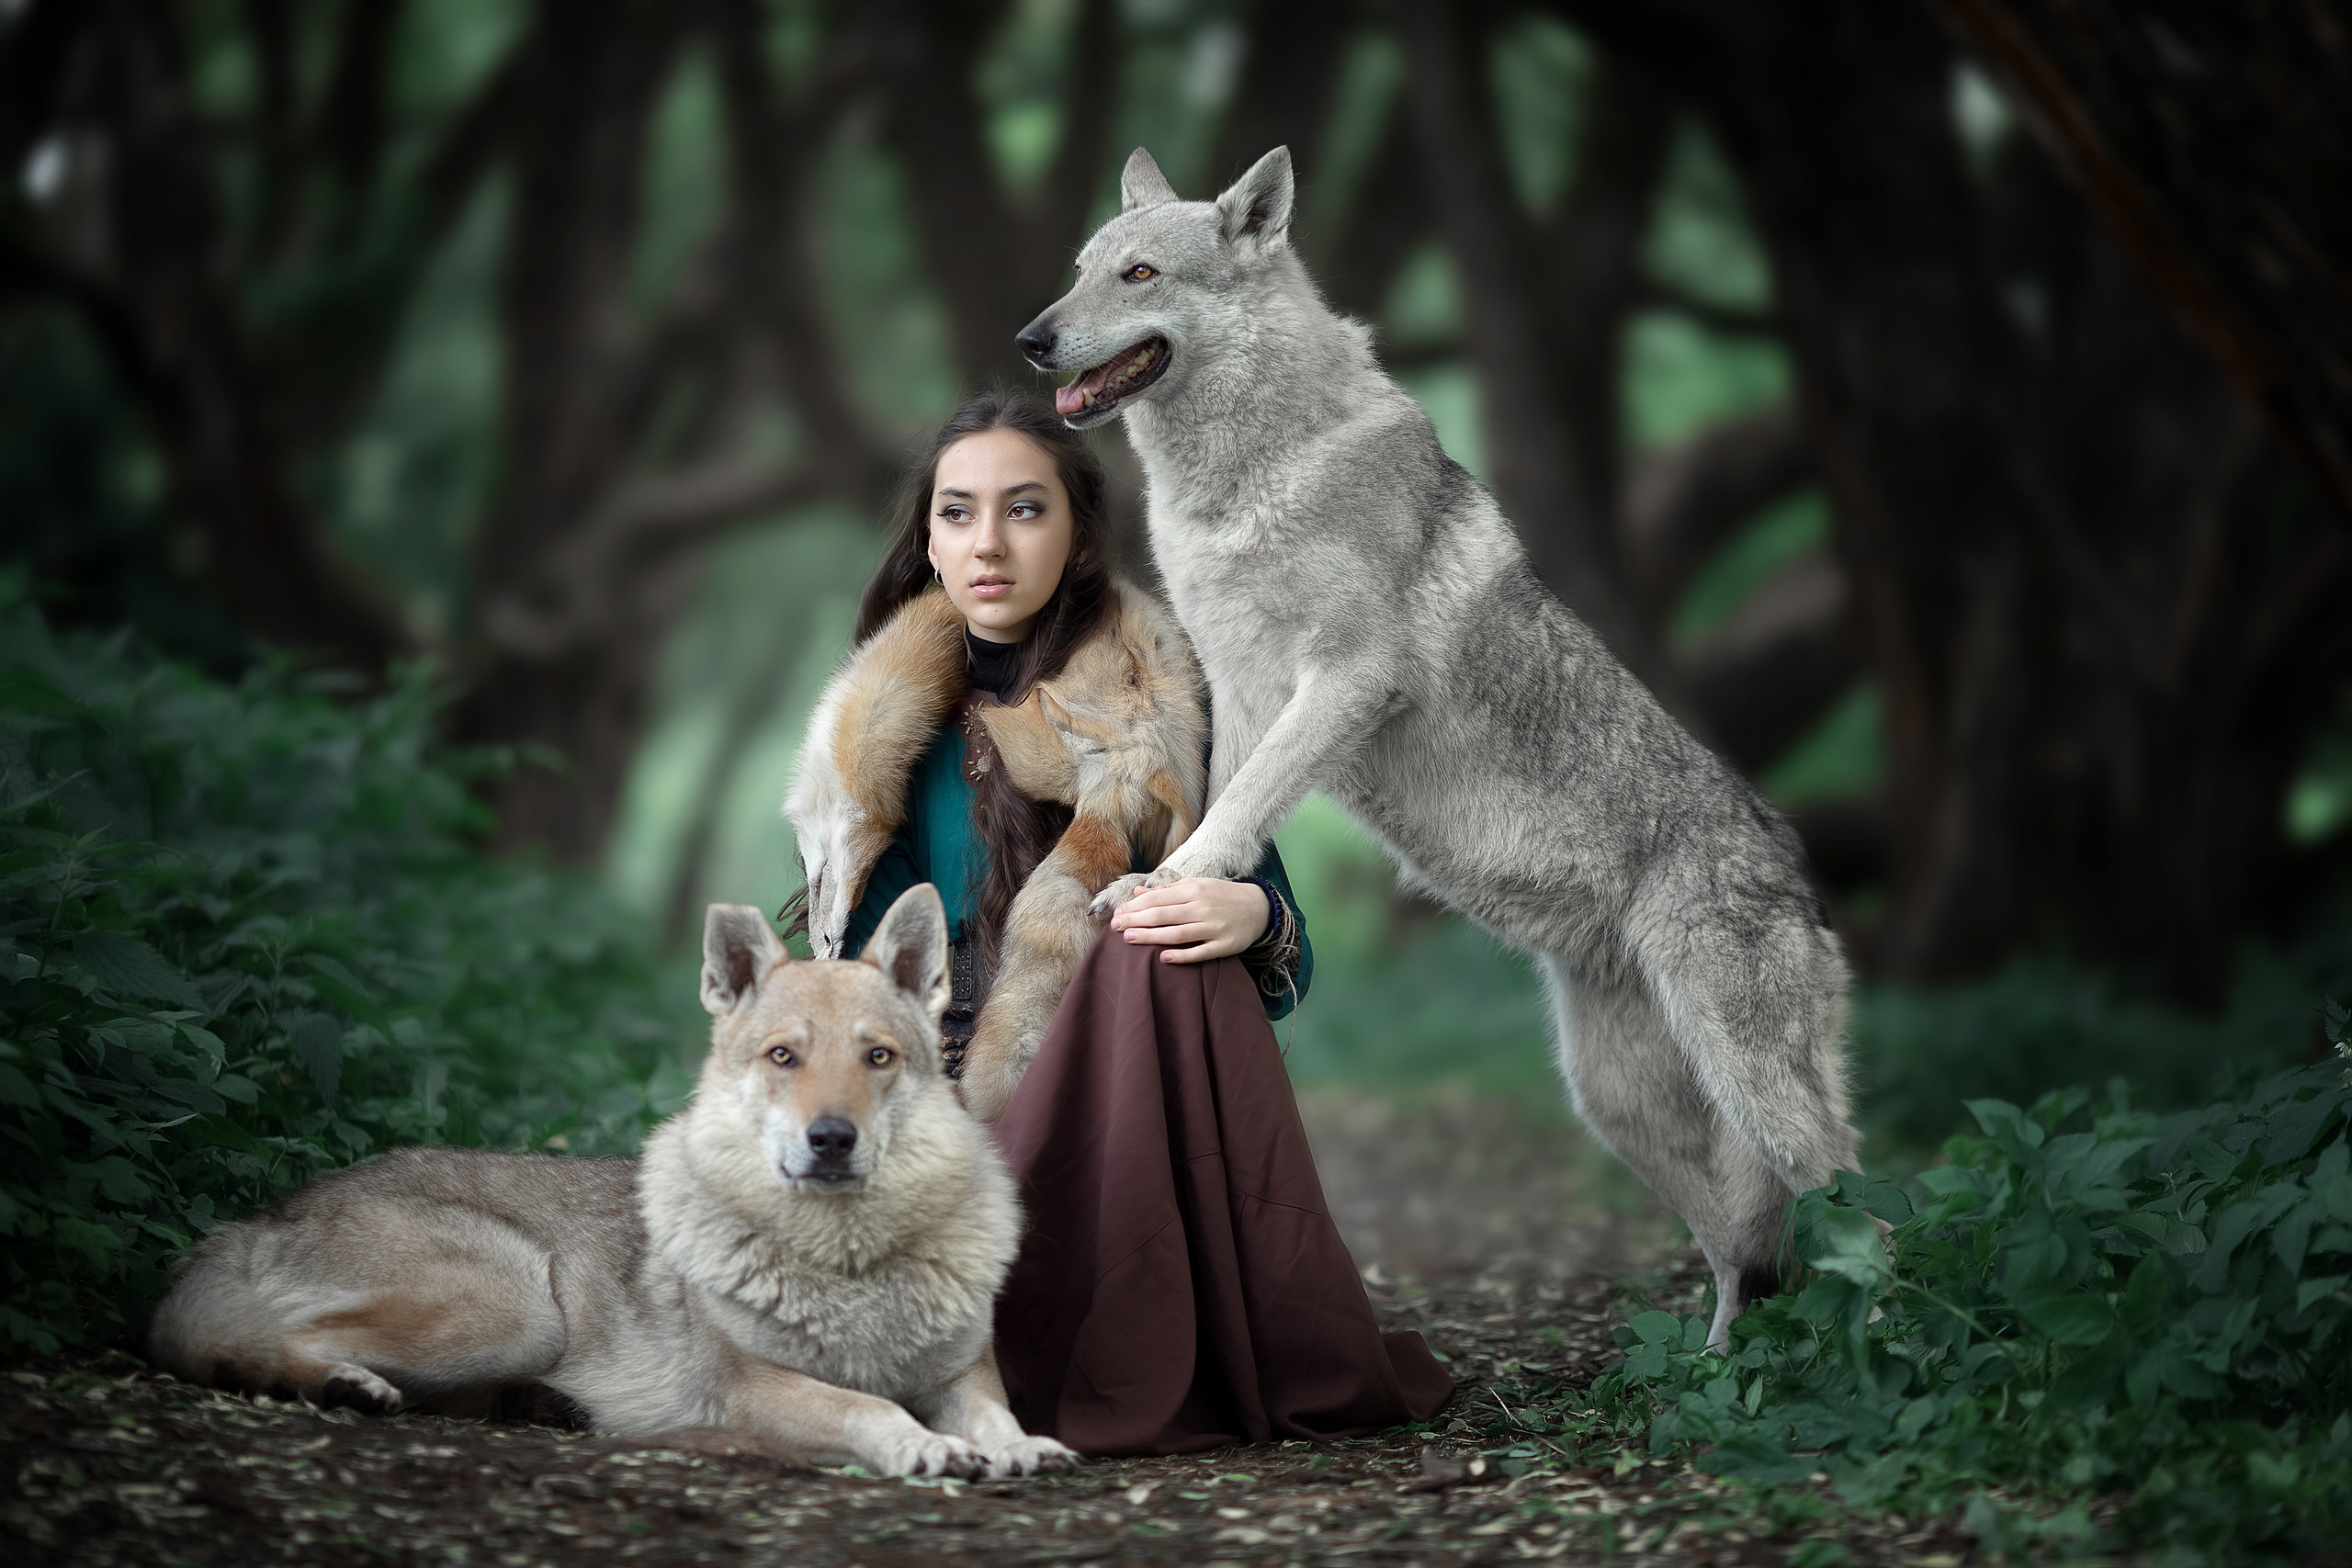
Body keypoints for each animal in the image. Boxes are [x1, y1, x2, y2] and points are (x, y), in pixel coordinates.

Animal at [147, 885, 1080, 1479]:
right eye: (784, 1055)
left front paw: (1020, 1448)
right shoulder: (756, 1391)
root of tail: (258, 1218)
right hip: (518, 1307)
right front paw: (928, 1449)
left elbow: (997, 1416)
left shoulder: (961, 1378)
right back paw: (351, 1386)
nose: (830, 1138)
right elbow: (871, 1410)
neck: (852, 1263)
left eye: (878, 1057)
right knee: (251, 1345)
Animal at [1015, 146, 1862, 1346]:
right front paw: (1188, 887)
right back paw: (1718, 1372)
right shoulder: (1242, 685)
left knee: (1860, 1204)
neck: (1249, 477)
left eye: (1138, 274)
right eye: (1082, 268)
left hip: (1749, 1089)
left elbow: (1243, 804)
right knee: (1747, 1254)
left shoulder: (1345, 678)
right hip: (1620, 1109)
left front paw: (1172, 887)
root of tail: (1792, 865)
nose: (1030, 339)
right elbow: (1231, 796)